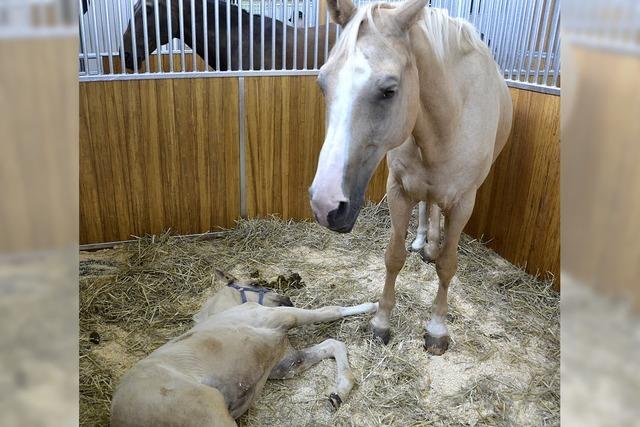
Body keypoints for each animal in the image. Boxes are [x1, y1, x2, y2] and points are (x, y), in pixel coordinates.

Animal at [110, 272, 376, 426]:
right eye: (256, 283)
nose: (287, 299)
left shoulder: (284, 364)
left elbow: (333, 344)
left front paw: (338, 394)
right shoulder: (284, 318)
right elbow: (330, 311)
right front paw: (373, 305)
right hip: (211, 414)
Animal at [308, 0, 512, 356]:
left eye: (389, 91)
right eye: (323, 84)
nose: (325, 205)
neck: (448, 122)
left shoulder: (464, 203)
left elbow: (448, 265)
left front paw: (437, 329)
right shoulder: (398, 191)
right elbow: (394, 257)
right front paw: (381, 322)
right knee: (427, 207)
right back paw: (422, 242)